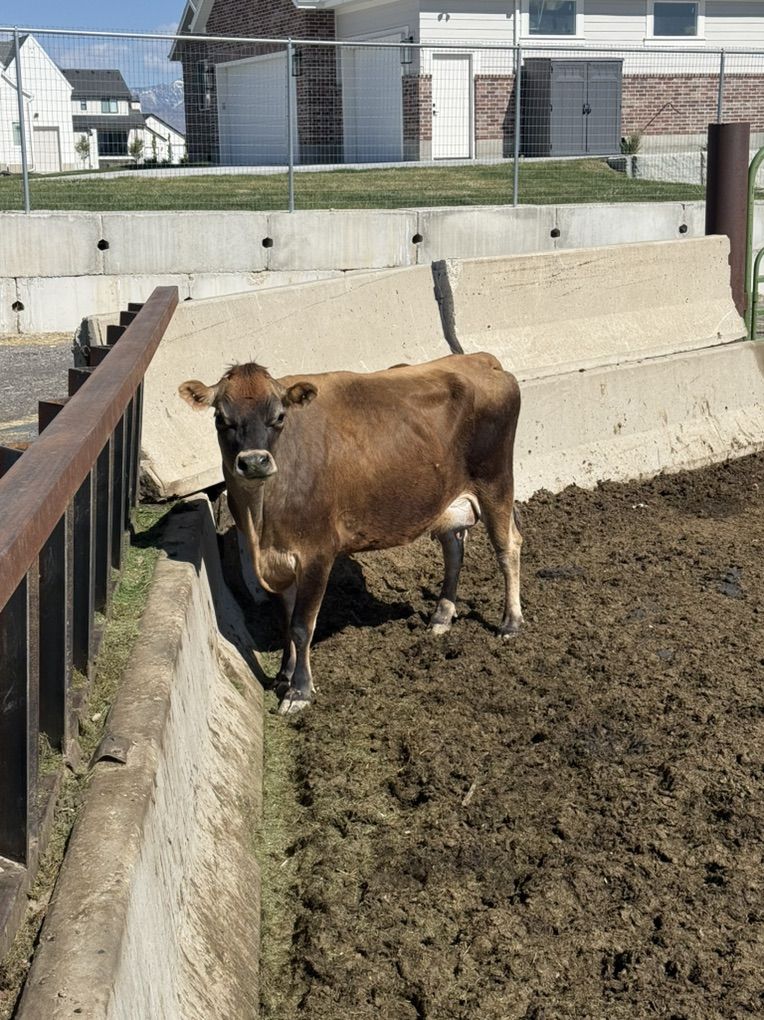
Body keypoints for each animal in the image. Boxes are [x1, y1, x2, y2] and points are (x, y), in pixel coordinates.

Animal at [179, 352, 522, 713]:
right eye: (221, 418)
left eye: (279, 416)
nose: (255, 462)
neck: (260, 520)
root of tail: (479, 359)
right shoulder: (280, 558)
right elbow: (285, 620)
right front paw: (284, 675)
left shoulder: (316, 553)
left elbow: (301, 626)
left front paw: (299, 691)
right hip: (442, 500)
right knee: (454, 549)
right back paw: (441, 616)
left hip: (495, 482)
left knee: (507, 547)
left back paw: (510, 622)